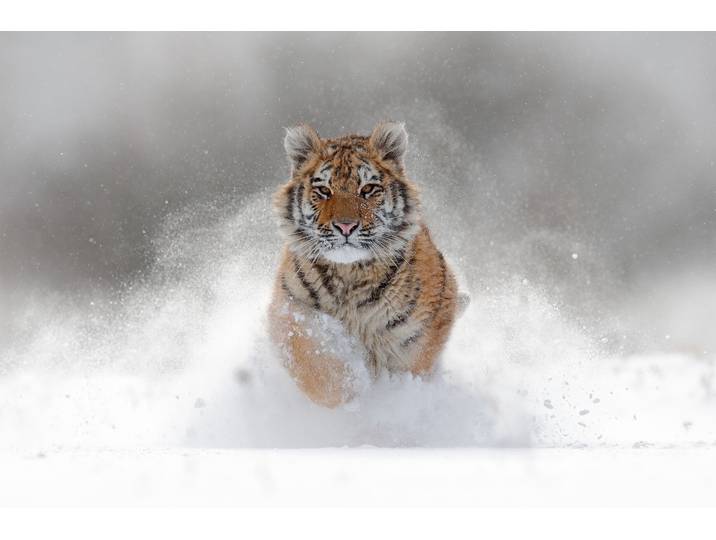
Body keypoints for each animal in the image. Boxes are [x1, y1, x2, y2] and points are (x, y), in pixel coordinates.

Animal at [268, 121, 466, 408]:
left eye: (368, 189)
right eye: (324, 191)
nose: (345, 226)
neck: (350, 274)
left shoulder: (418, 334)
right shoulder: (290, 310)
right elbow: (315, 363)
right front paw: (349, 391)